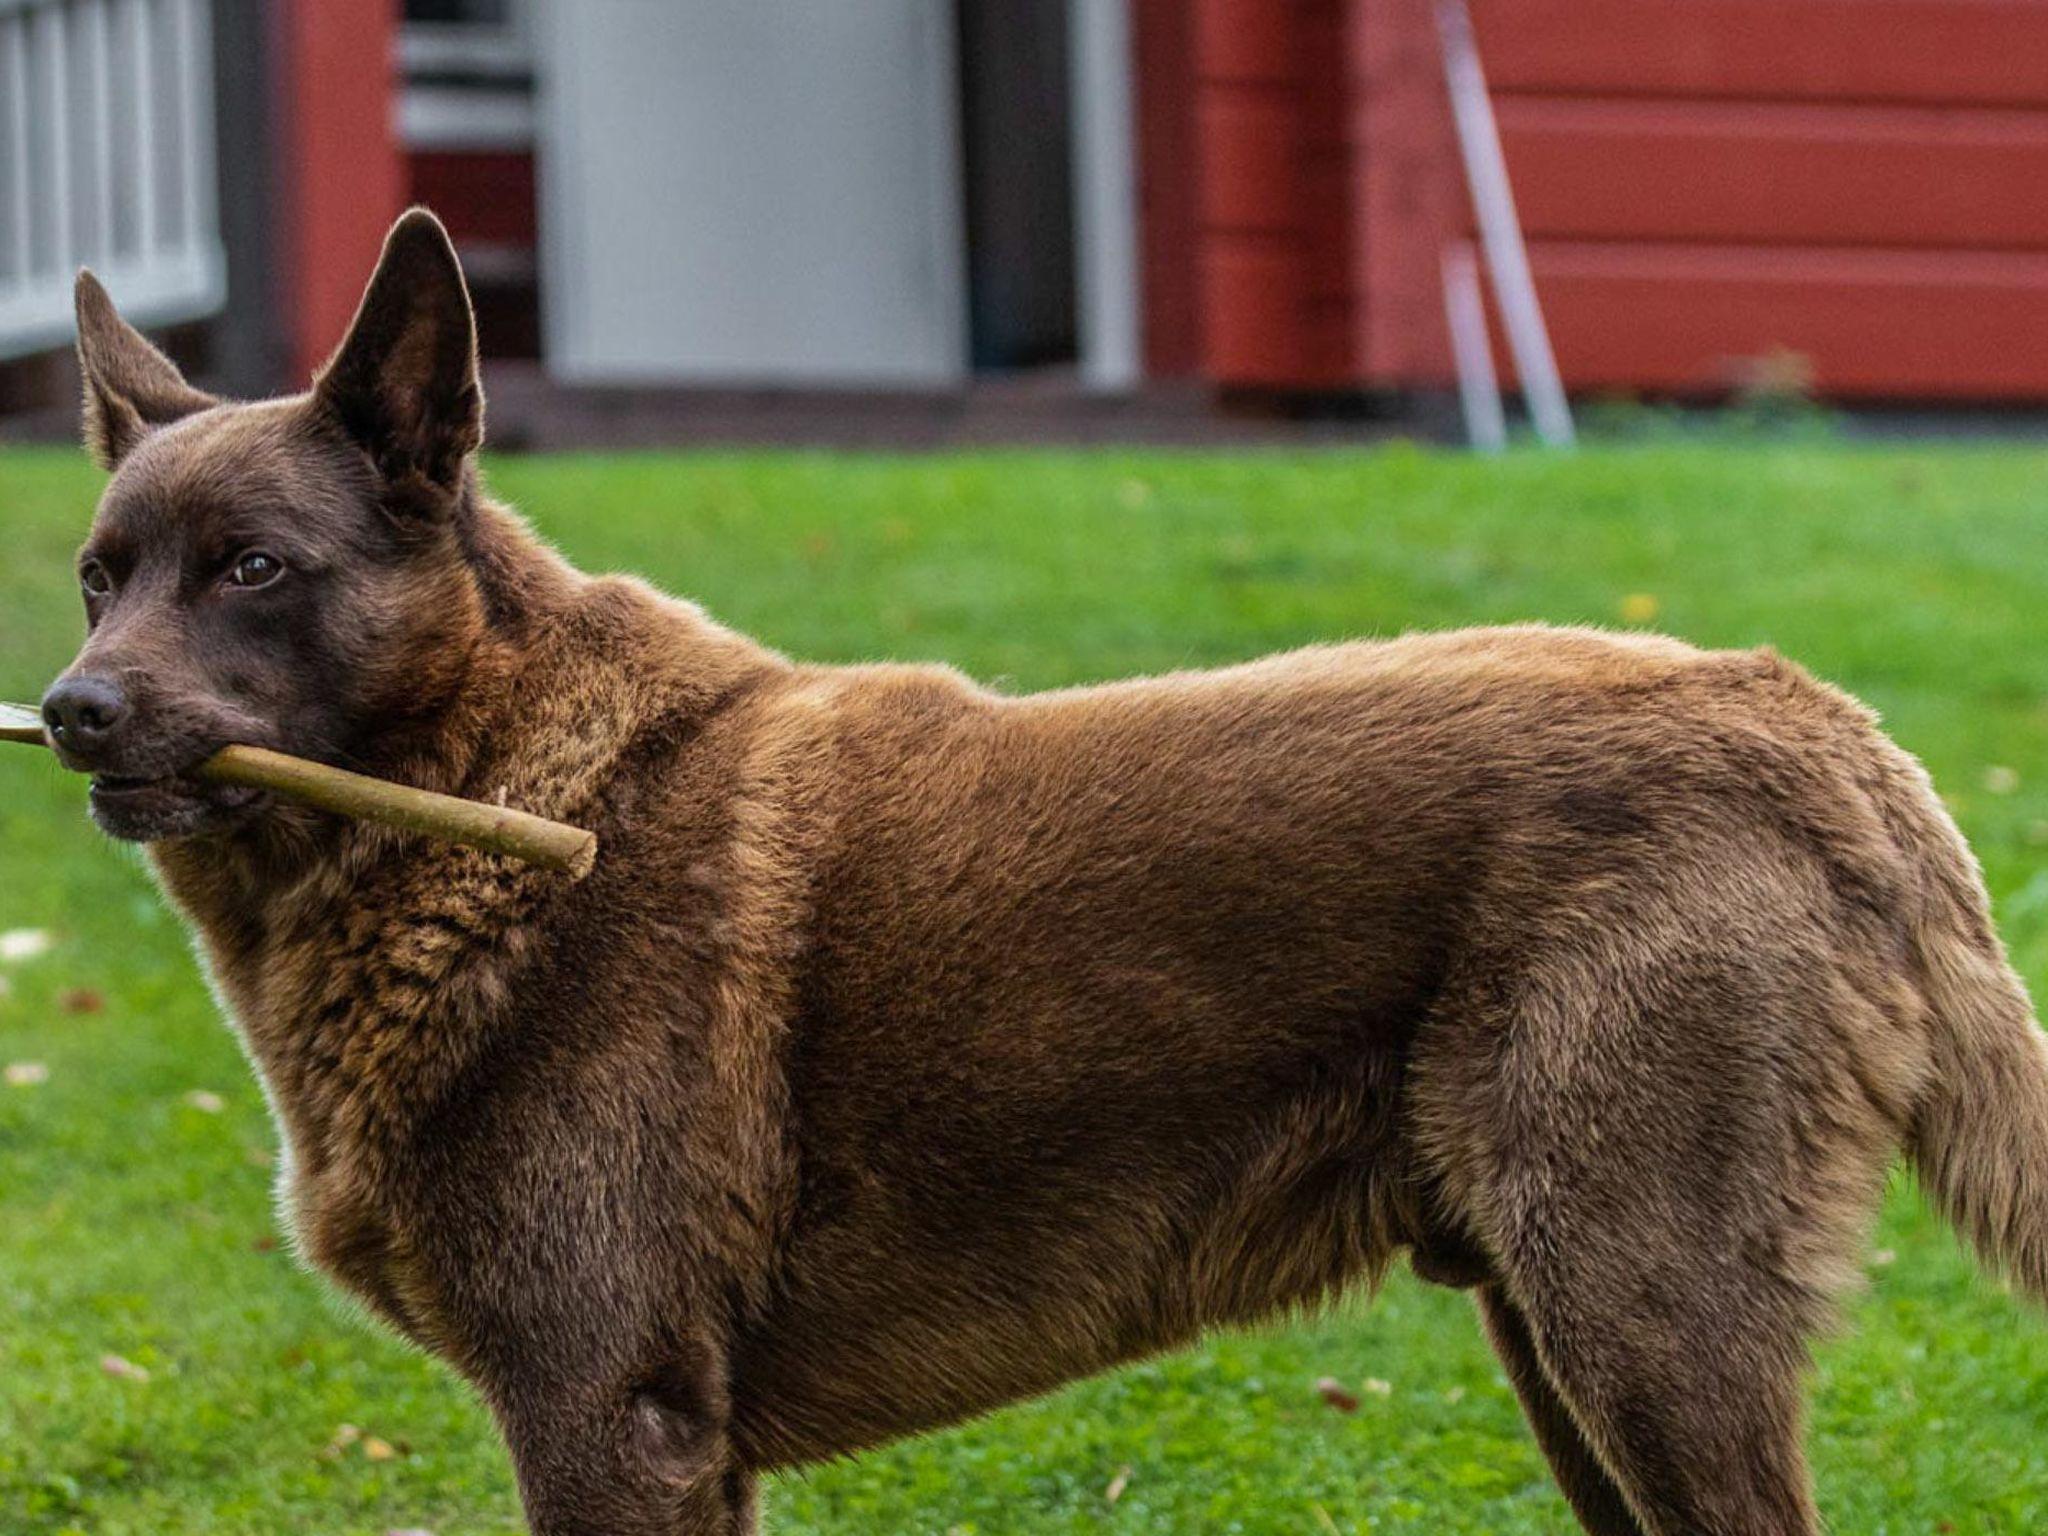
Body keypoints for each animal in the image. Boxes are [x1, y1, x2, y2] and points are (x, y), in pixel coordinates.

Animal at [44, 207, 2048, 1536]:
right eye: (95, 575)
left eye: (253, 571)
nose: (67, 713)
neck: (503, 795)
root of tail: (1824, 728)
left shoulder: (609, 1416)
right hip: (1560, 1340)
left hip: (1642, 1318)